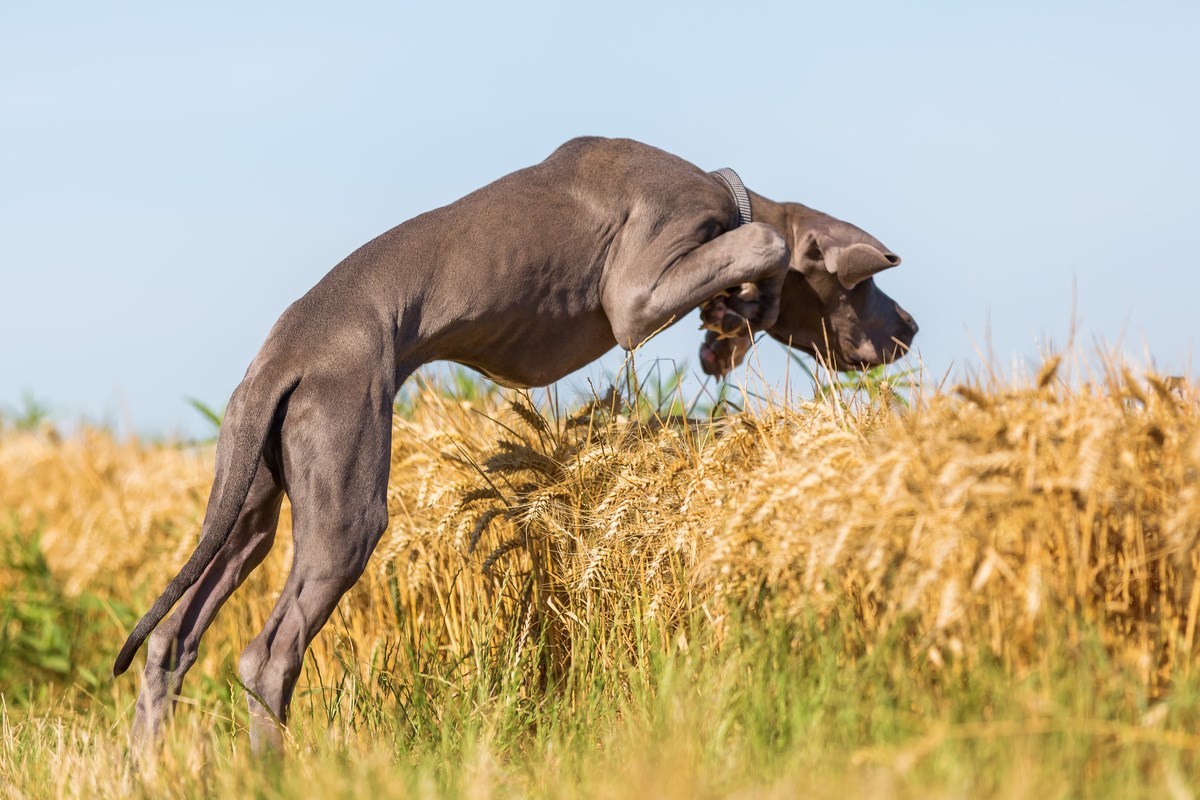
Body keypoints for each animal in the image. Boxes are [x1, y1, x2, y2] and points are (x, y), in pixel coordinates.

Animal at [114, 134, 916, 753]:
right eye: (864, 288)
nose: (910, 328)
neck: (723, 193)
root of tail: (281, 357)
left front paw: (730, 325)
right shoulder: (635, 294)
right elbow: (766, 242)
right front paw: (743, 309)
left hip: (249, 503)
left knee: (170, 641)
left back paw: (149, 770)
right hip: (347, 508)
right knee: (267, 656)